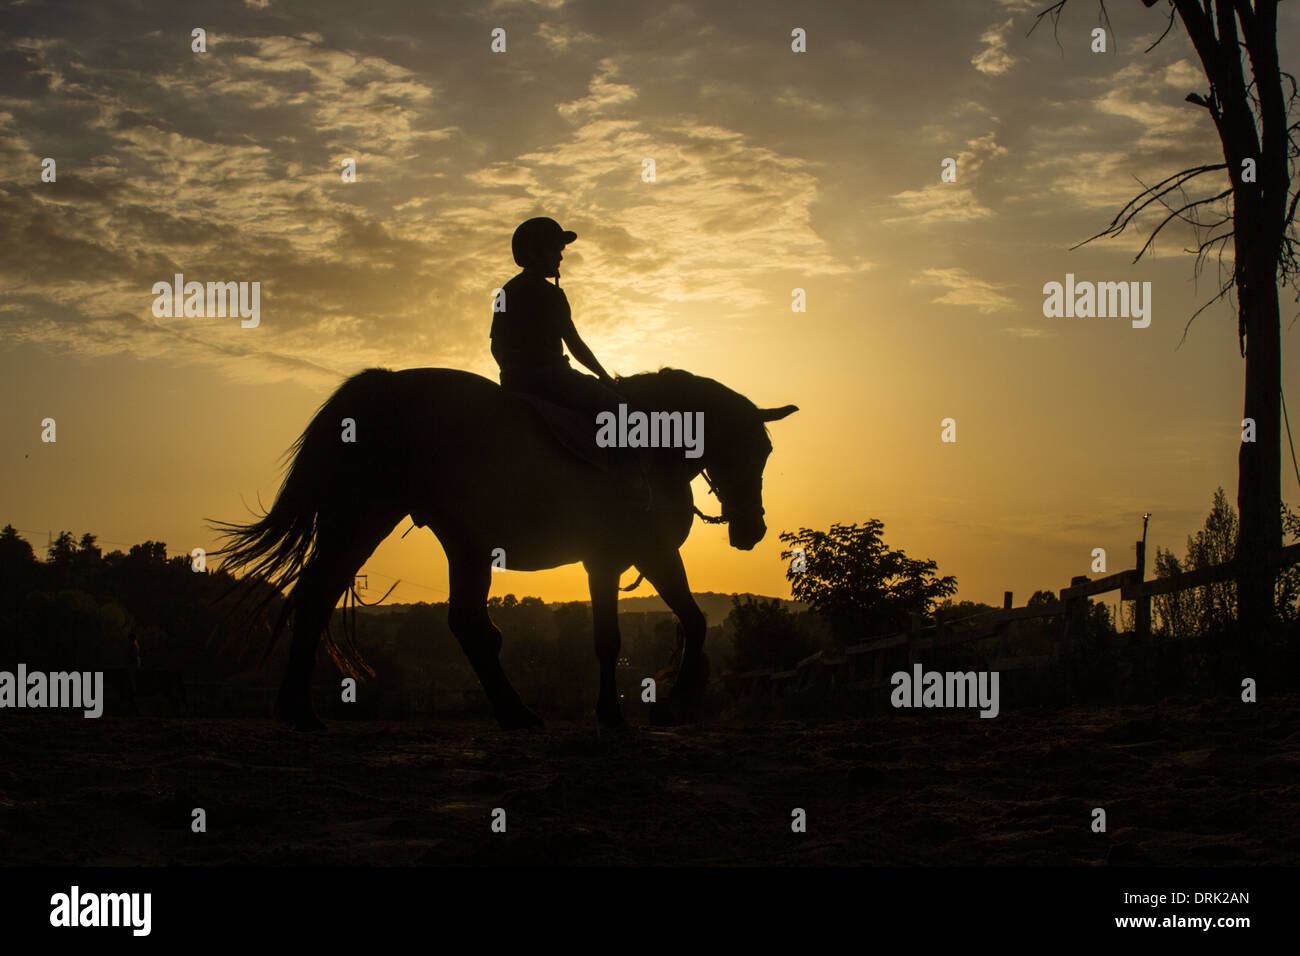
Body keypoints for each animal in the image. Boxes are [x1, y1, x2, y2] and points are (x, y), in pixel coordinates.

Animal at [213, 369, 790, 733]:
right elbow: (671, 627)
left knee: (447, 620)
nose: (752, 529)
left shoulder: (616, 560)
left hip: (444, 539)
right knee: (324, 595)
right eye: (756, 449)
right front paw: (665, 704)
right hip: (367, 519)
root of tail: (383, 383)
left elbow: (639, 633)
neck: (650, 445)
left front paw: (631, 709)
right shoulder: (643, 554)